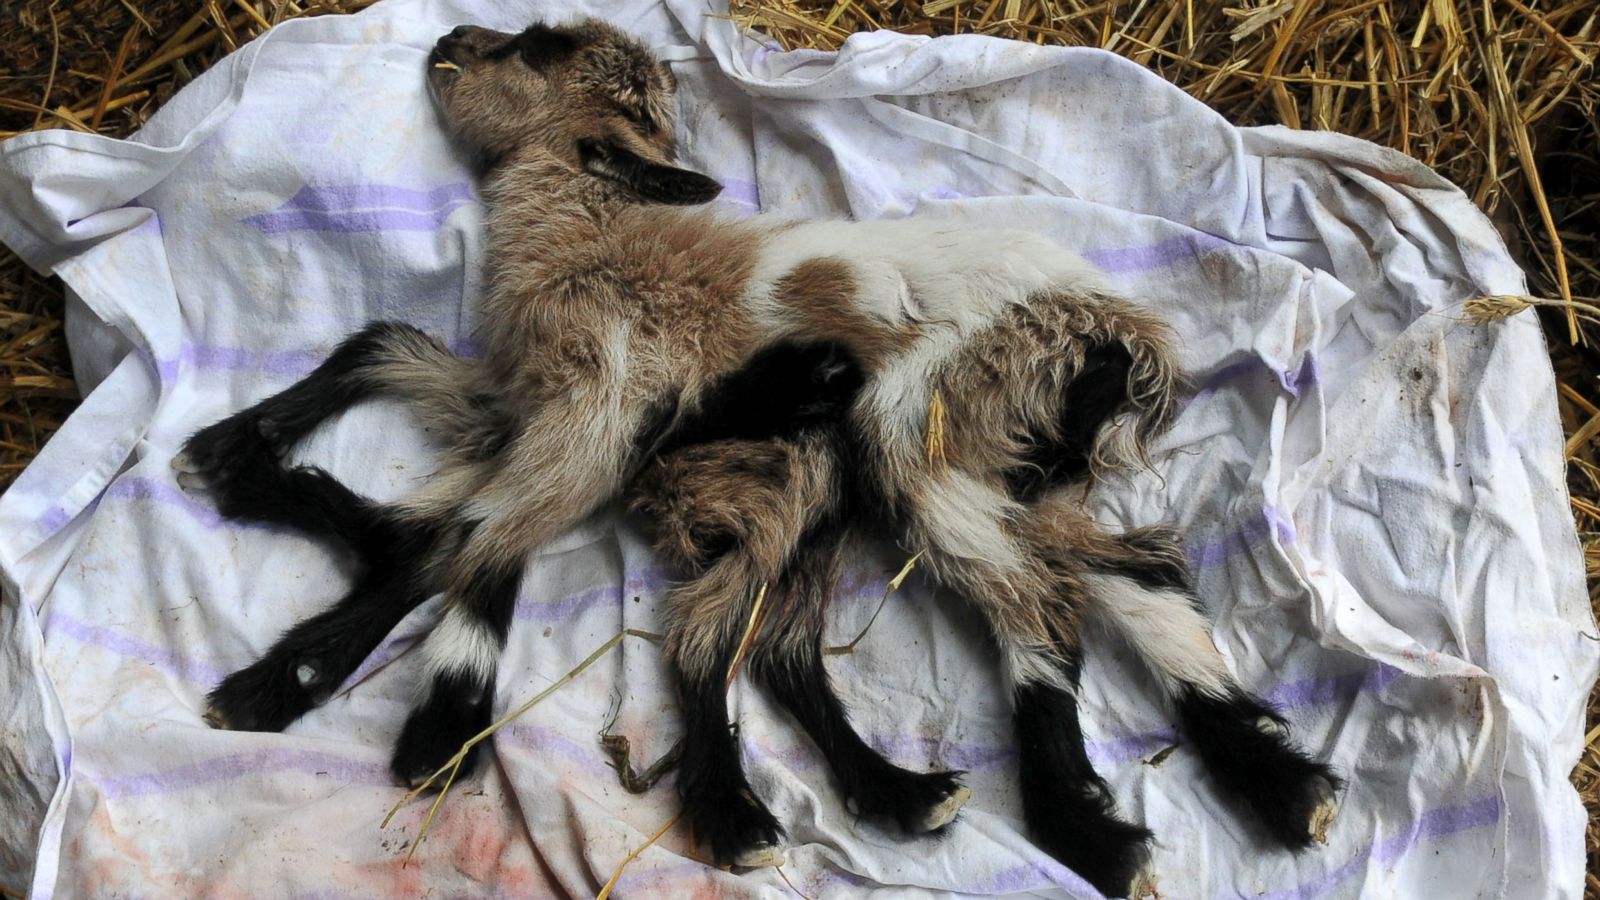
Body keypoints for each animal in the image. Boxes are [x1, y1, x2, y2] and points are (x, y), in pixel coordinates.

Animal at [178, 19, 1337, 890]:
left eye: (540, 48)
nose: (452, 40)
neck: (585, 224)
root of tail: (1124, 339)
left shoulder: (596, 398)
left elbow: (465, 540)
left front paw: (317, 690)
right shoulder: (517, 398)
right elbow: (387, 358)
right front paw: (234, 456)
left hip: (923, 425)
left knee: (1017, 610)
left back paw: (1056, 829)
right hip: (970, 466)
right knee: (1111, 577)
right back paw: (1255, 786)